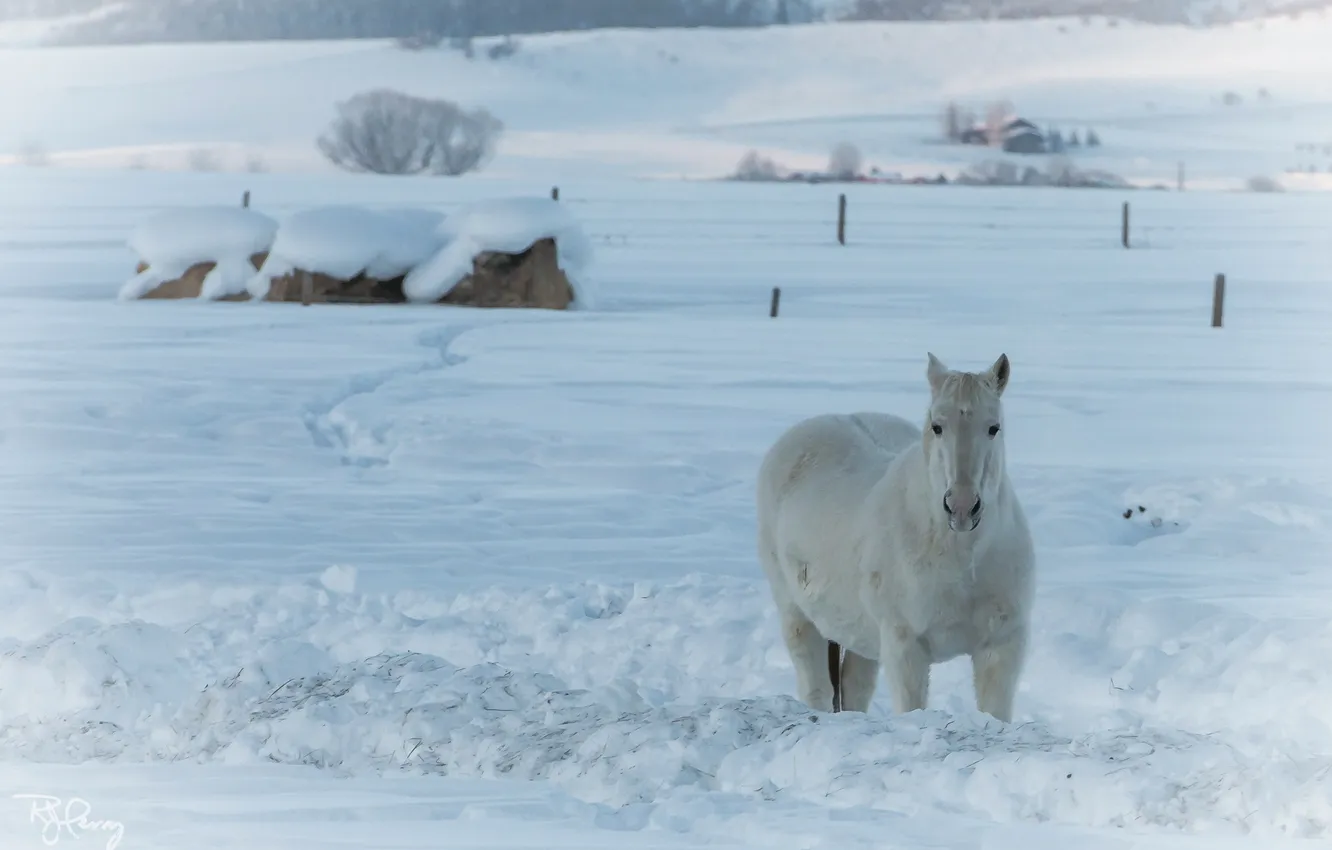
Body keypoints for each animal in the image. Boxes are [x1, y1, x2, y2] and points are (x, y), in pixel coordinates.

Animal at [756, 357, 1033, 724]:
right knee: (817, 687)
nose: (961, 507)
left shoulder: (1001, 646)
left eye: (994, 427)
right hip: (796, 614)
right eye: (937, 425)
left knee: (854, 686)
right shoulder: (905, 647)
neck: (961, 559)